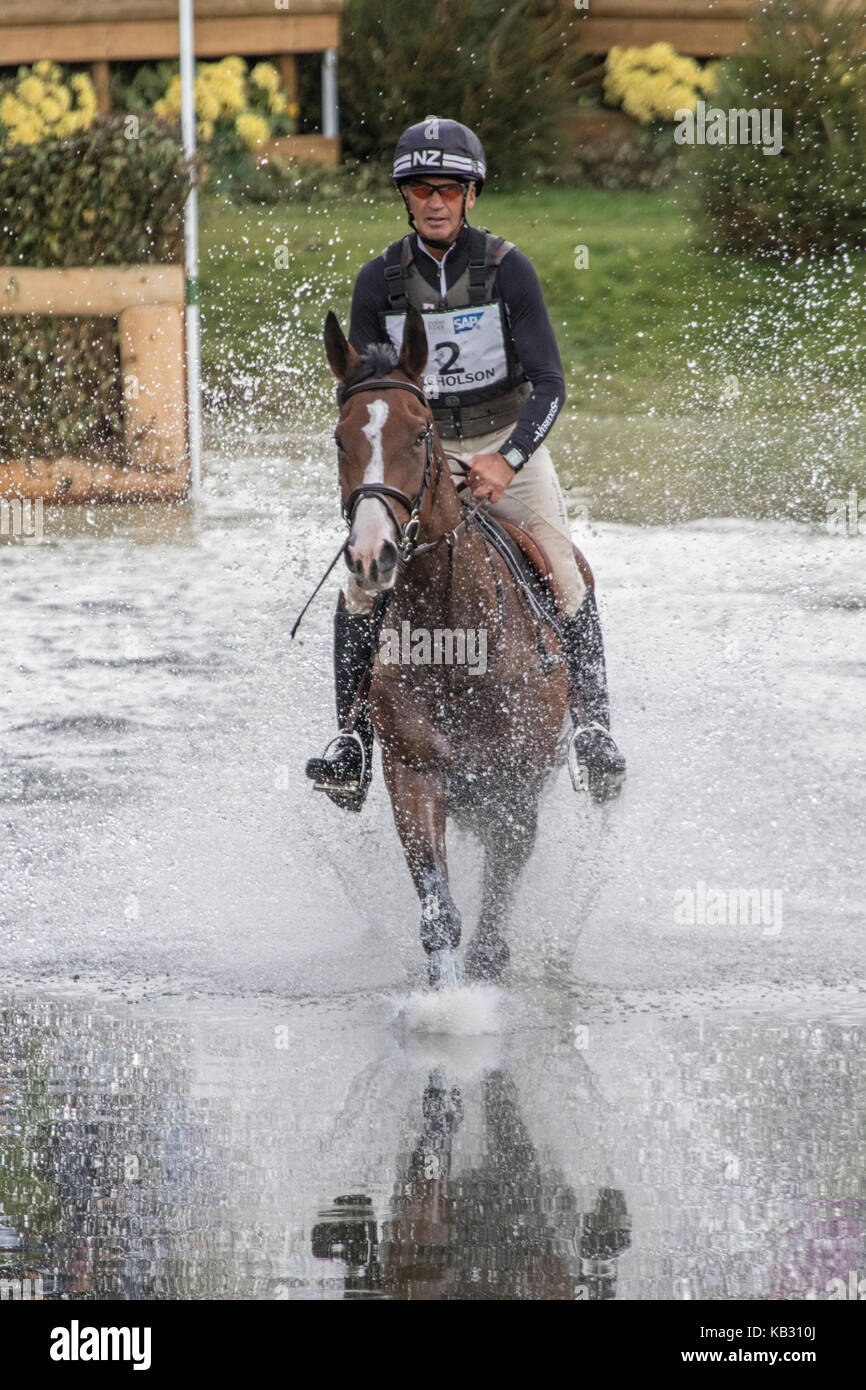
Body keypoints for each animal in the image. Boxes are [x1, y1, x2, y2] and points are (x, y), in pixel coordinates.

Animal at [323, 305, 569, 989]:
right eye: (341, 439)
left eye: (419, 435)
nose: (372, 556)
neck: (454, 639)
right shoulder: (414, 778)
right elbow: (439, 911)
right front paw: (445, 999)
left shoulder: (514, 790)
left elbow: (493, 916)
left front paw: (483, 976)